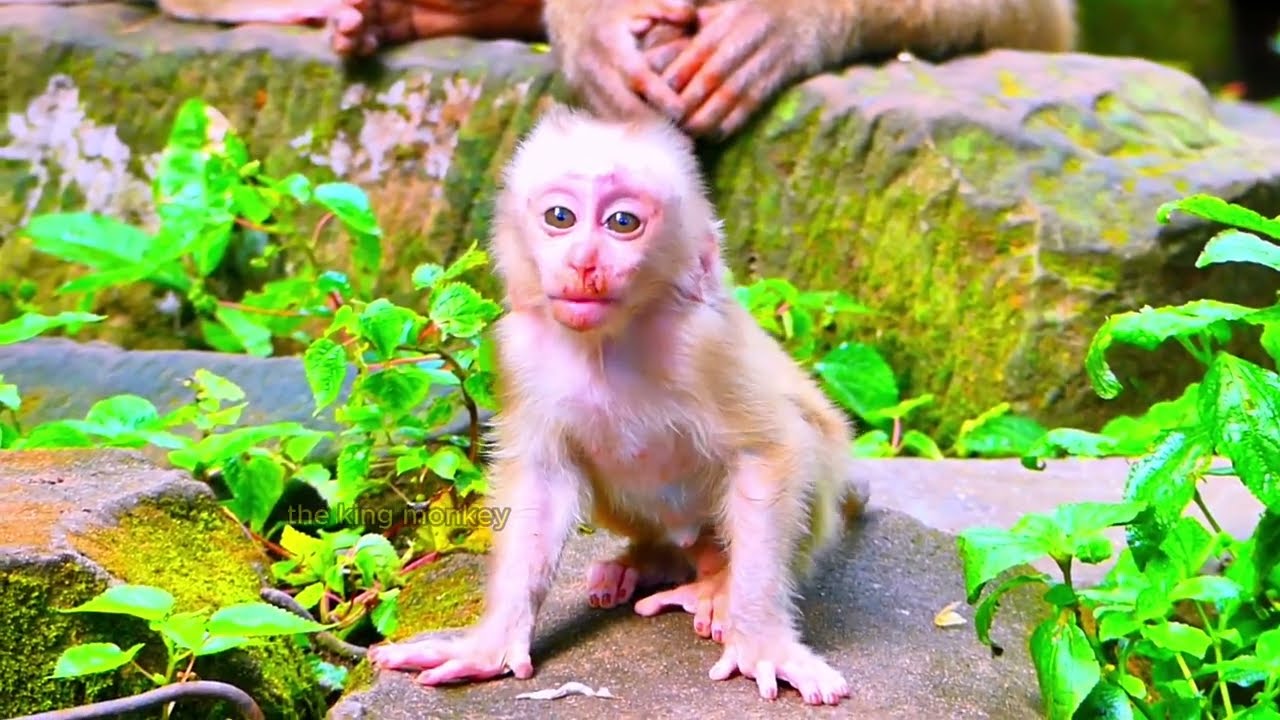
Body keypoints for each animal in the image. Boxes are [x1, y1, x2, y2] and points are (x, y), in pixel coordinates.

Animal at [366, 106, 870, 705]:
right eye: (560, 217)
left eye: (622, 222)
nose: (584, 262)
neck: (609, 341)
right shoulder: (517, 349)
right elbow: (541, 481)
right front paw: (489, 645)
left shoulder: (706, 343)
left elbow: (767, 453)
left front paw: (762, 641)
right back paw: (648, 560)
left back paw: (713, 583)